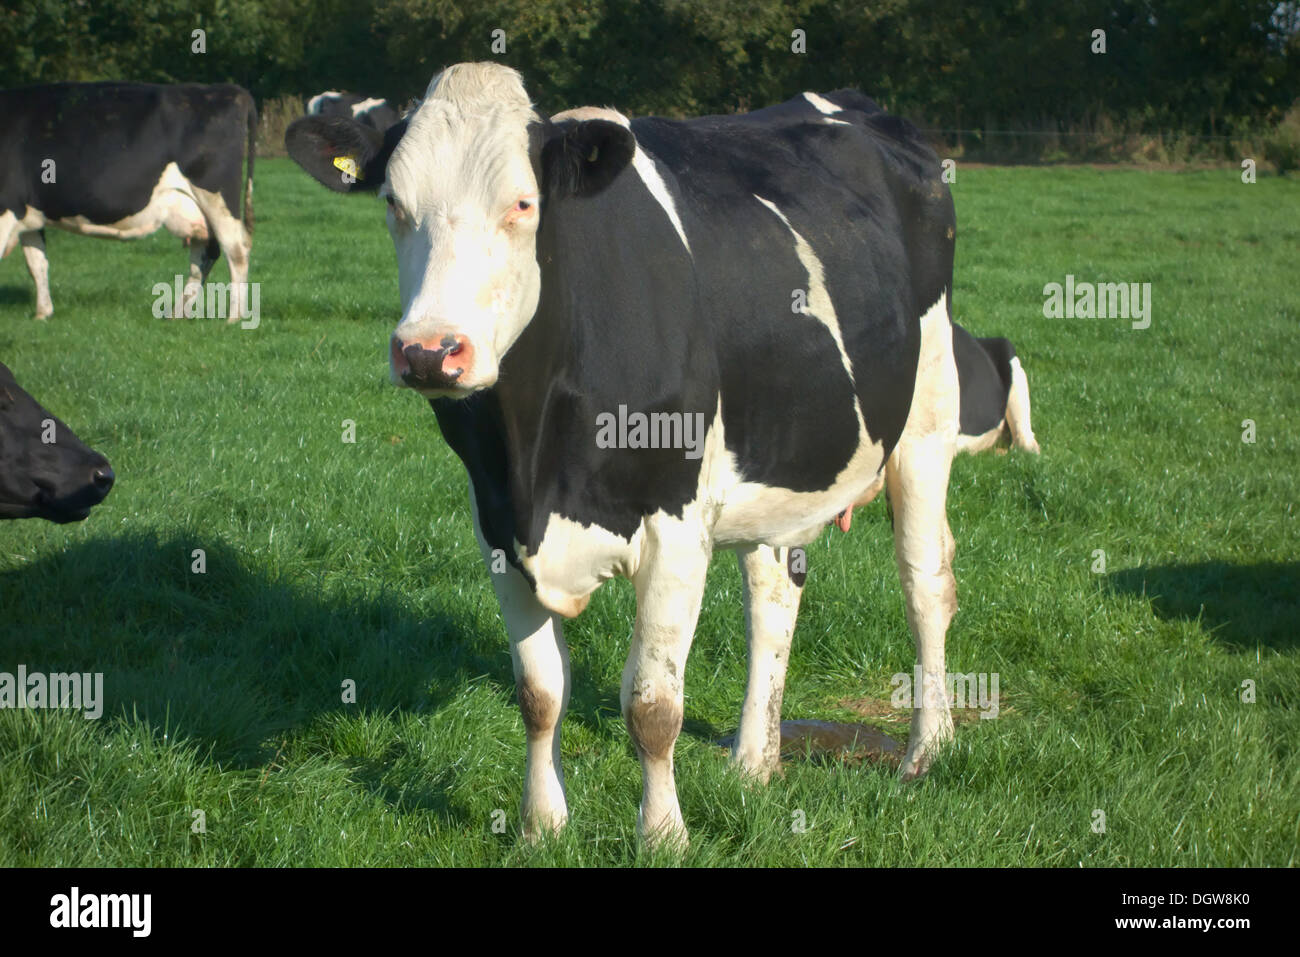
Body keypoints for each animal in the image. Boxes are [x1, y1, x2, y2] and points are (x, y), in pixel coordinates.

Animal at [0, 82, 256, 321]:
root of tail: (231, 90)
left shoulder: (7, 207)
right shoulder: (27, 212)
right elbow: (37, 263)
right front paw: (43, 313)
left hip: (217, 197)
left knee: (236, 250)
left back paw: (234, 317)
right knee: (206, 252)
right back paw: (177, 313)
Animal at [287, 63, 967, 847]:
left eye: (523, 203)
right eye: (394, 203)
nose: (429, 351)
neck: (538, 458)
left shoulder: (676, 523)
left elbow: (652, 704)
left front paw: (663, 834)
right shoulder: (497, 522)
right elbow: (540, 692)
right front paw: (542, 824)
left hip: (927, 415)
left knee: (926, 583)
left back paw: (926, 751)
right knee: (773, 592)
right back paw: (753, 763)